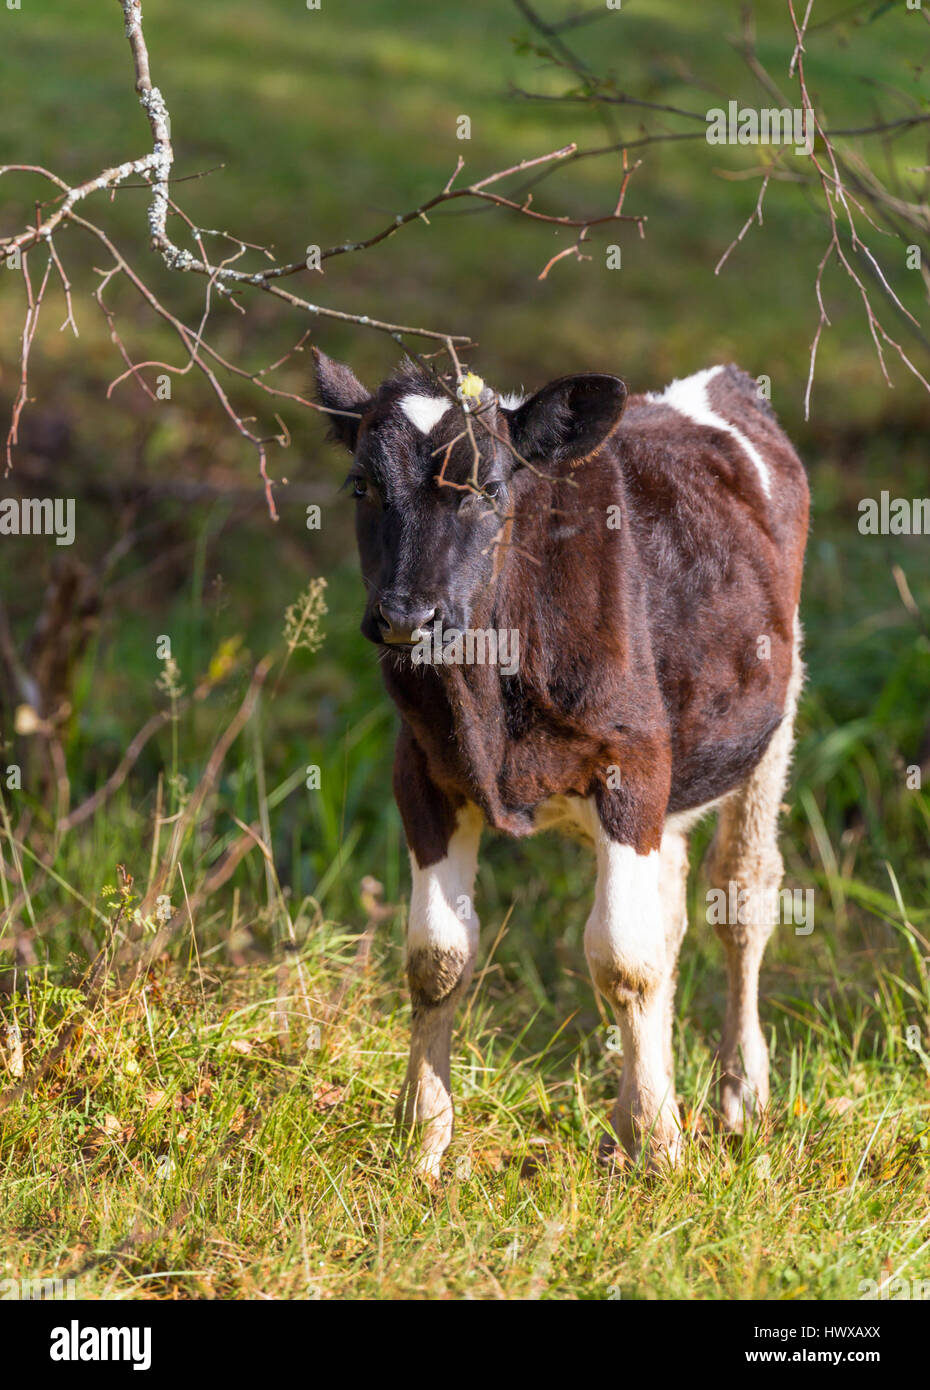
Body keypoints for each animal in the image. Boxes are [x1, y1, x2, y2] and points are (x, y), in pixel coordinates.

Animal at [314, 353, 806, 1178]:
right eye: (361, 486)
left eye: (489, 487)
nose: (407, 617)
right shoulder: (420, 771)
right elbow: (436, 956)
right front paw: (420, 1139)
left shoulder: (633, 763)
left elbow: (623, 958)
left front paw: (657, 1145)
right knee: (670, 911)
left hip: (773, 721)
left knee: (741, 896)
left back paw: (740, 1093)